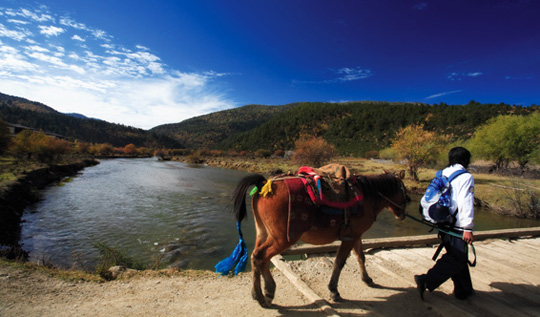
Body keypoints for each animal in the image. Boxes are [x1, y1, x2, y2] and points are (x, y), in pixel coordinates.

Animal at [230, 170, 412, 306]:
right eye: (404, 189)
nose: (404, 212)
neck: (367, 196)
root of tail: (263, 185)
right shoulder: (349, 238)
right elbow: (340, 262)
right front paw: (333, 290)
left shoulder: (355, 235)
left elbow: (361, 257)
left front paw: (367, 279)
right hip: (282, 239)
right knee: (261, 256)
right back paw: (266, 293)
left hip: (264, 233)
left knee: (256, 257)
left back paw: (260, 293)